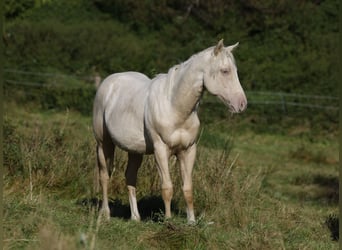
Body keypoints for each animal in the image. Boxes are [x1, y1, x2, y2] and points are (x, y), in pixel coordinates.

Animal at [92, 40, 247, 224]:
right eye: (225, 71)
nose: (242, 104)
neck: (174, 106)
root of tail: (109, 82)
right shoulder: (161, 150)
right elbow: (167, 187)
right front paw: (168, 221)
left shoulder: (188, 151)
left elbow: (188, 189)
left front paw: (191, 222)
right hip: (103, 144)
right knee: (104, 176)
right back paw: (105, 214)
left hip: (135, 150)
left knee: (130, 177)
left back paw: (135, 217)